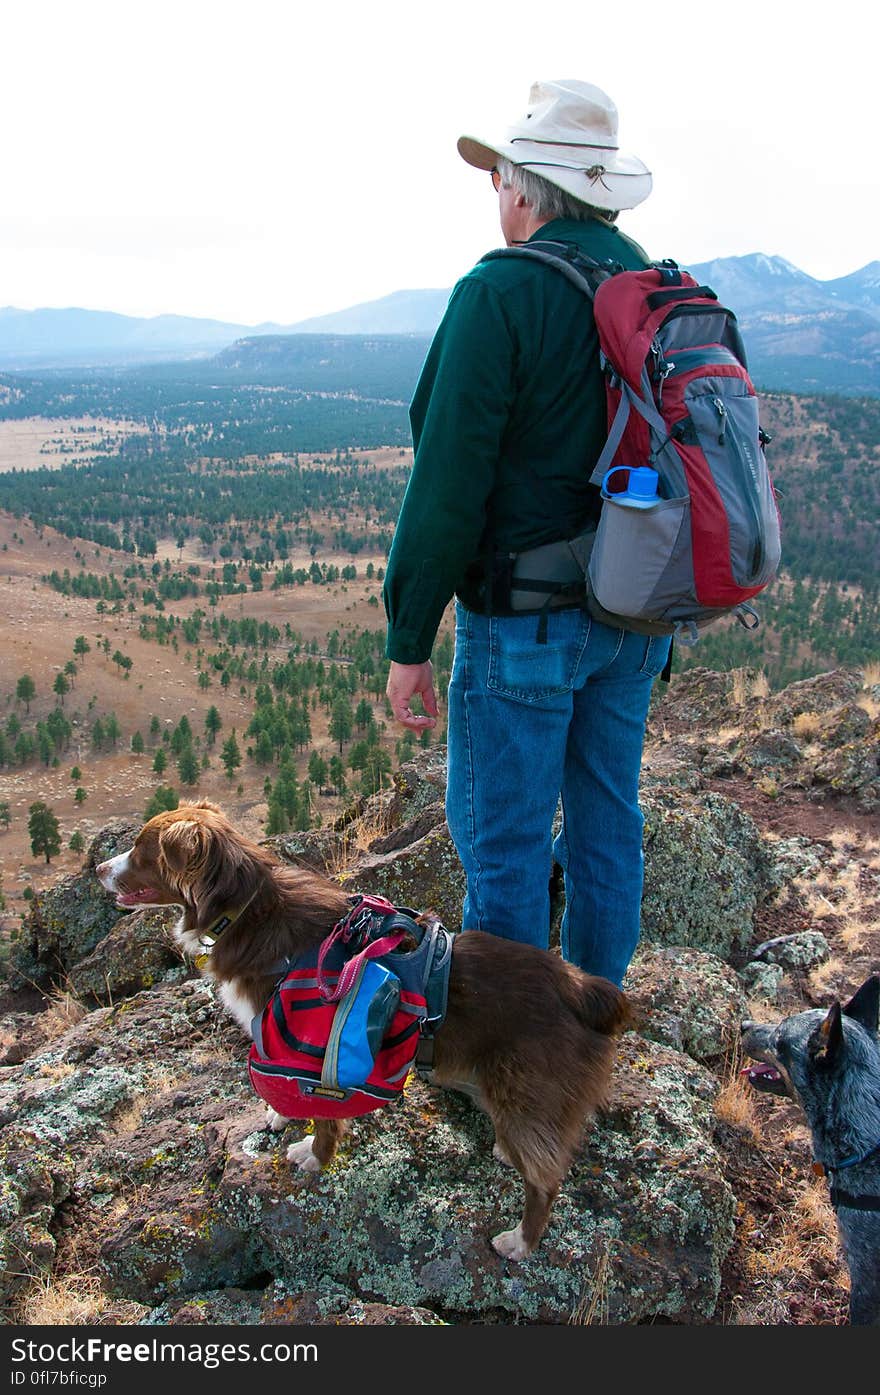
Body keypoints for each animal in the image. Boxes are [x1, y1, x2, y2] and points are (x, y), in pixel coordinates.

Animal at [96, 797, 630, 1266]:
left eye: (141, 851)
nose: (98, 868)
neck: (245, 911)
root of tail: (581, 986)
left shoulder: (316, 1043)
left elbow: (324, 1116)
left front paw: (314, 1156)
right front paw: (279, 1115)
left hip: (526, 1088)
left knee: (545, 1182)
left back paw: (521, 1240)